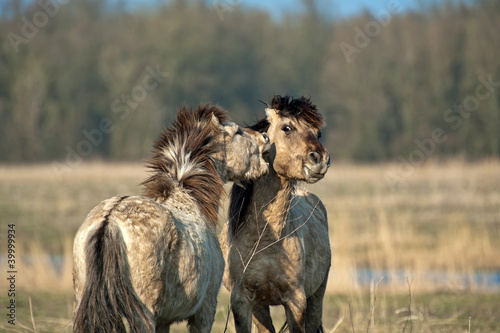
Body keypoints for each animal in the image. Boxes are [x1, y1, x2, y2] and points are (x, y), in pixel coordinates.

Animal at [72, 104, 270, 332]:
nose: (266, 136)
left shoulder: (164, 320)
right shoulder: (204, 311)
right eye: (238, 132)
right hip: (144, 315)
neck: (188, 198)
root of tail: (110, 220)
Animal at [220, 94, 330, 330]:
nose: (321, 159)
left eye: (317, 133)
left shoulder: (296, 301)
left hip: (316, 297)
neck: (265, 239)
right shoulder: (243, 302)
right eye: (287, 127)